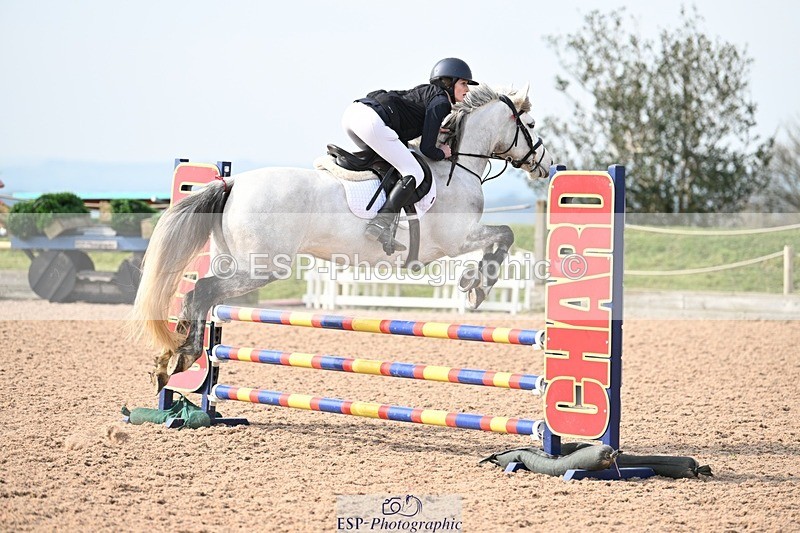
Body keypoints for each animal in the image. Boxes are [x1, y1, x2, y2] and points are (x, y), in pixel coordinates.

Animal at [131, 84, 554, 392]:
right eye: (532, 125)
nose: (548, 164)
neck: (457, 164)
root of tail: (231, 182)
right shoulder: (456, 239)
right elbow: (504, 235)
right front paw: (477, 285)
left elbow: (501, 238)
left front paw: (473, 283)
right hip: (259, 269)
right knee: (200, 292)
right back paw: (182, 357)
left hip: (233, 261)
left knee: (202, 294)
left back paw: (171, 357)